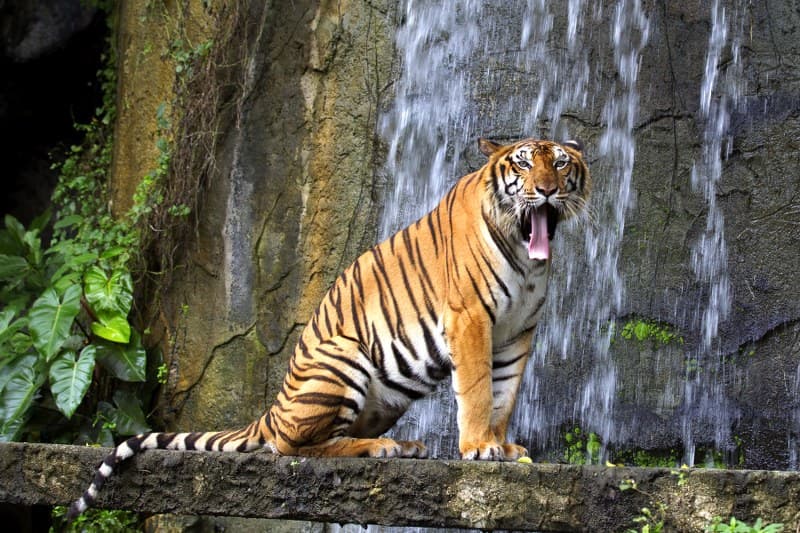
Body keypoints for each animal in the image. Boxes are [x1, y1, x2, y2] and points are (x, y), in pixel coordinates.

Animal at [68, 137, 590, 519]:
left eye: (561, 163)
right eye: (522, 165)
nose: (546, 190)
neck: (525, 253)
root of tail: (272, 409)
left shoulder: (517, 332)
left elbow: (505, 392)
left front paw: (503, 446)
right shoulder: (470, 319)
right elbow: (479, 388)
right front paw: (480, 448)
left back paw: (403, 445)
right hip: (344, 356)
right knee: (293, 447)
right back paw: (382, 448)